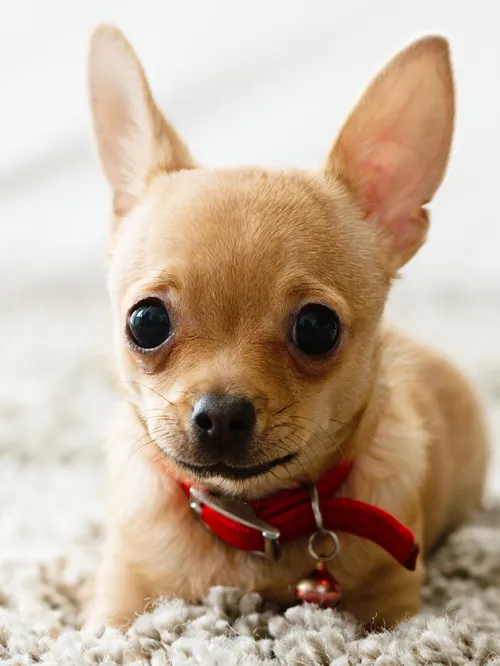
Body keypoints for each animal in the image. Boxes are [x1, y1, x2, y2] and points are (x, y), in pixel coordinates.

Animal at [87, 27, 488, 628]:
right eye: (147, 322)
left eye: (317, 329)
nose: (221, 414)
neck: (254, 523)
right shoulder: (119, 601)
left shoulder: (391, 606)